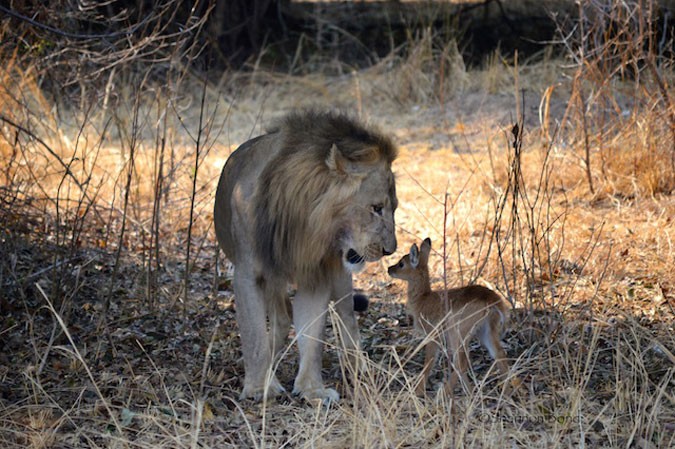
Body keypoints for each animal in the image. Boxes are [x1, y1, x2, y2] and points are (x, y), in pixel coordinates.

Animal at [214, 109, 398, 402]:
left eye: (395, 208)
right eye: (376, 208)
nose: (390, 250)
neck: (302, 223)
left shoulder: (317, 273)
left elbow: (312, 335)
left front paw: (313, 389)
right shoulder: (247, 274)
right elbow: (254, 332)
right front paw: (259, 387)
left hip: (340, 277)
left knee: (346, 316)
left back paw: (359, 368)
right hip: (272, 279)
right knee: (279, 319)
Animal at [388, 236, 516, 394]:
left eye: (401, 263)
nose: (389, 269)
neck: (423, 299)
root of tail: (493, 301)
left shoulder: (433, 335)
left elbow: (429, 362)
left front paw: (418, 391)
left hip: (458, 333)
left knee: (461, 362)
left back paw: (446, 394)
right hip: (485, 332)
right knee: (499, 355)